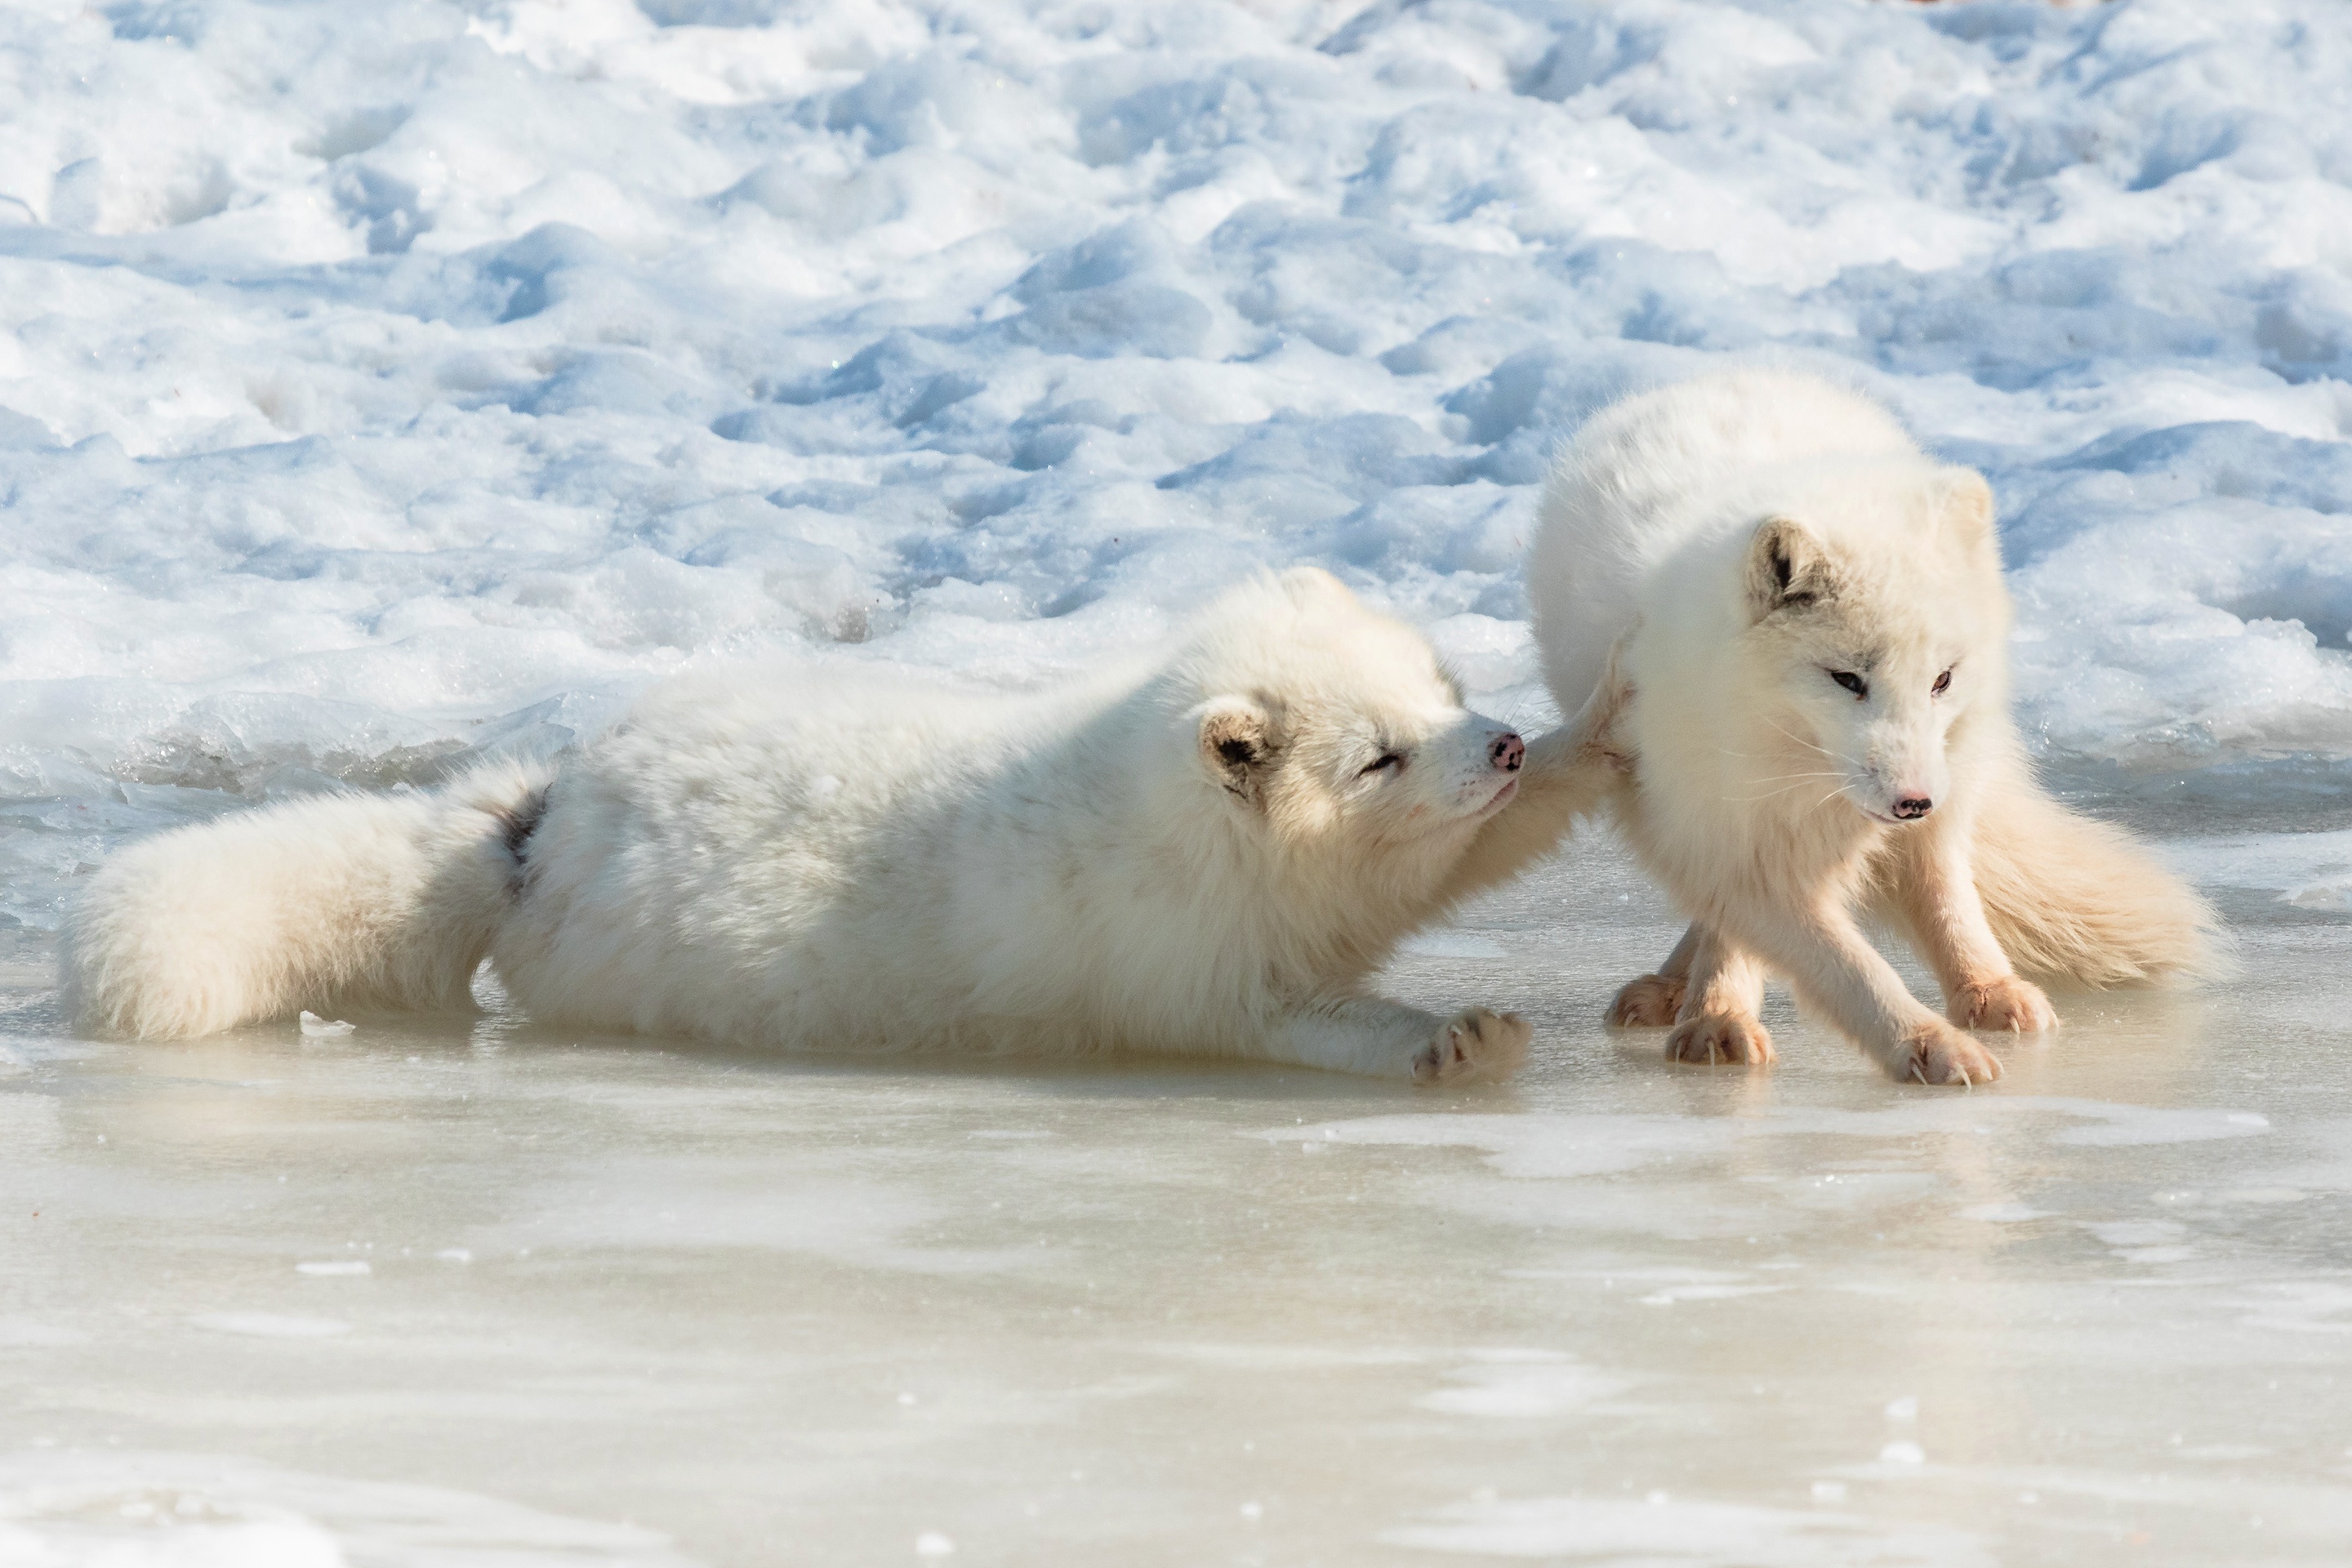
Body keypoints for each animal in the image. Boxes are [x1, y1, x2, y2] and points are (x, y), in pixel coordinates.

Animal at [64, 571, 1627, 1085]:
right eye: (1376, 756)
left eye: (1439, 690)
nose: (1495, 739)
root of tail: (538, 818)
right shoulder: (1196, 975)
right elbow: (1307, 1024)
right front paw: (1452, 1038)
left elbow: (1490, 843)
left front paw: (1596, 732)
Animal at [1533, 373, 2211, 1085]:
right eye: (1847, 679)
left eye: (1941, 679)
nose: (1912, 802)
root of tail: (1735, 374)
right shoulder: (1728, 821)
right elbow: (1842, 965)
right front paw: (1916, 1041)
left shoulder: (1924, 800)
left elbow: (1942, 897)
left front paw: (1983, 992)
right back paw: (1683, 993)